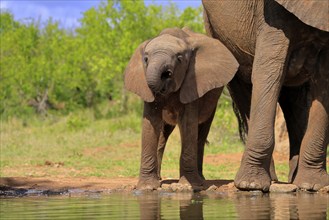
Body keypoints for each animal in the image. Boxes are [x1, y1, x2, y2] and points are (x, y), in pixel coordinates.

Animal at [124, 27, 237, 189]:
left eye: (179, 59)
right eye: (145, 59)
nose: (166, 74)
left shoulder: (193, 83)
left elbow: (188, 123)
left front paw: (187, 186)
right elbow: (150, 122)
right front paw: (147, 188)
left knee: (200, 134)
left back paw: (201, 180)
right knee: (163, 135)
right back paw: (159, 178)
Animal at [201, 0, 326, 192]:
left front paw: (313, 185)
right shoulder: (272, 16)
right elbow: (268, 72)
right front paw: (250, 185)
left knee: (294, 100)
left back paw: (294, 179)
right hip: (214, 27)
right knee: (242, 87)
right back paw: (269, 180)